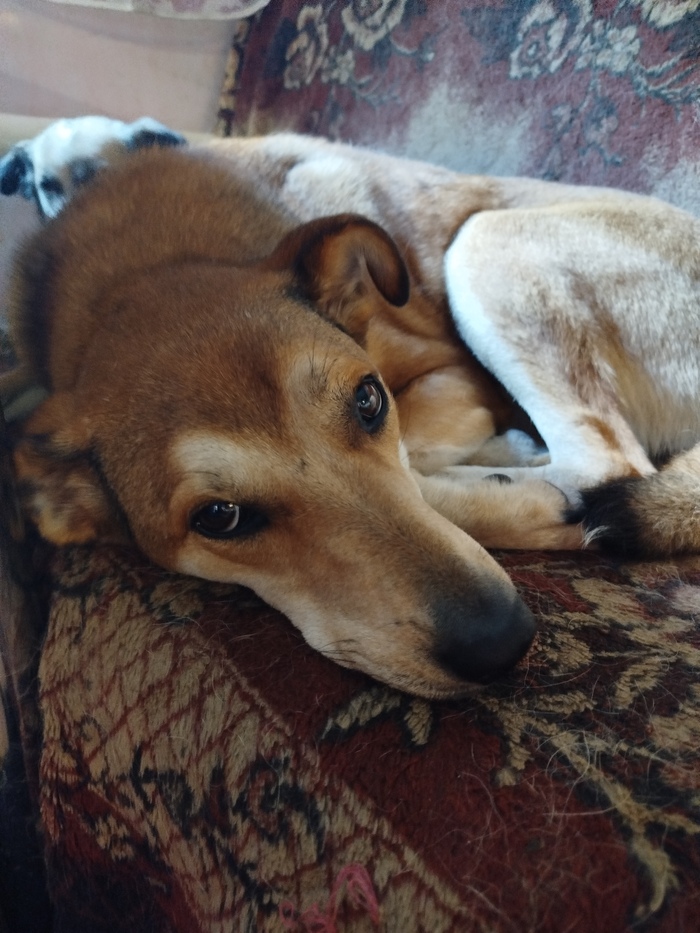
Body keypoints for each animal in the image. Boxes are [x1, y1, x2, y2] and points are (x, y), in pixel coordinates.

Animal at [1, 117, 698, 698]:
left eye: (368, 400)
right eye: (220, 518)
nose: (501, 643)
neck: (142, 267)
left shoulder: (447, 370)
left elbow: (414, 455)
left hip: (488, 243)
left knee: (607, 464)